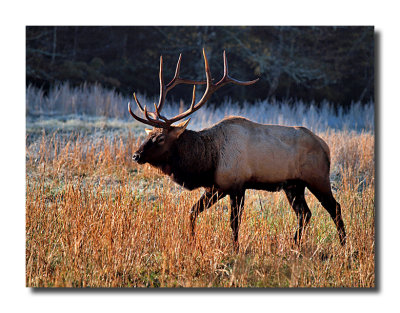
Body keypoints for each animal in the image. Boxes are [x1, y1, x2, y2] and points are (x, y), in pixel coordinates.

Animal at [127, 48, 344, 249]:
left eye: (161, 138)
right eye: (149, 135)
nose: (136, 155)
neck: (207, 160)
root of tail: (325, 147)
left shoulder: (237, 185)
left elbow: (234, 223)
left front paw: (235, 249)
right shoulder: (216, 187)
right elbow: (192, 212)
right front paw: (192, 242)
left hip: (317, 177)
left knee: (334, 208)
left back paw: (344, 246)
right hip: (293, 185)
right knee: (305, 213)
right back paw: (295, 244)